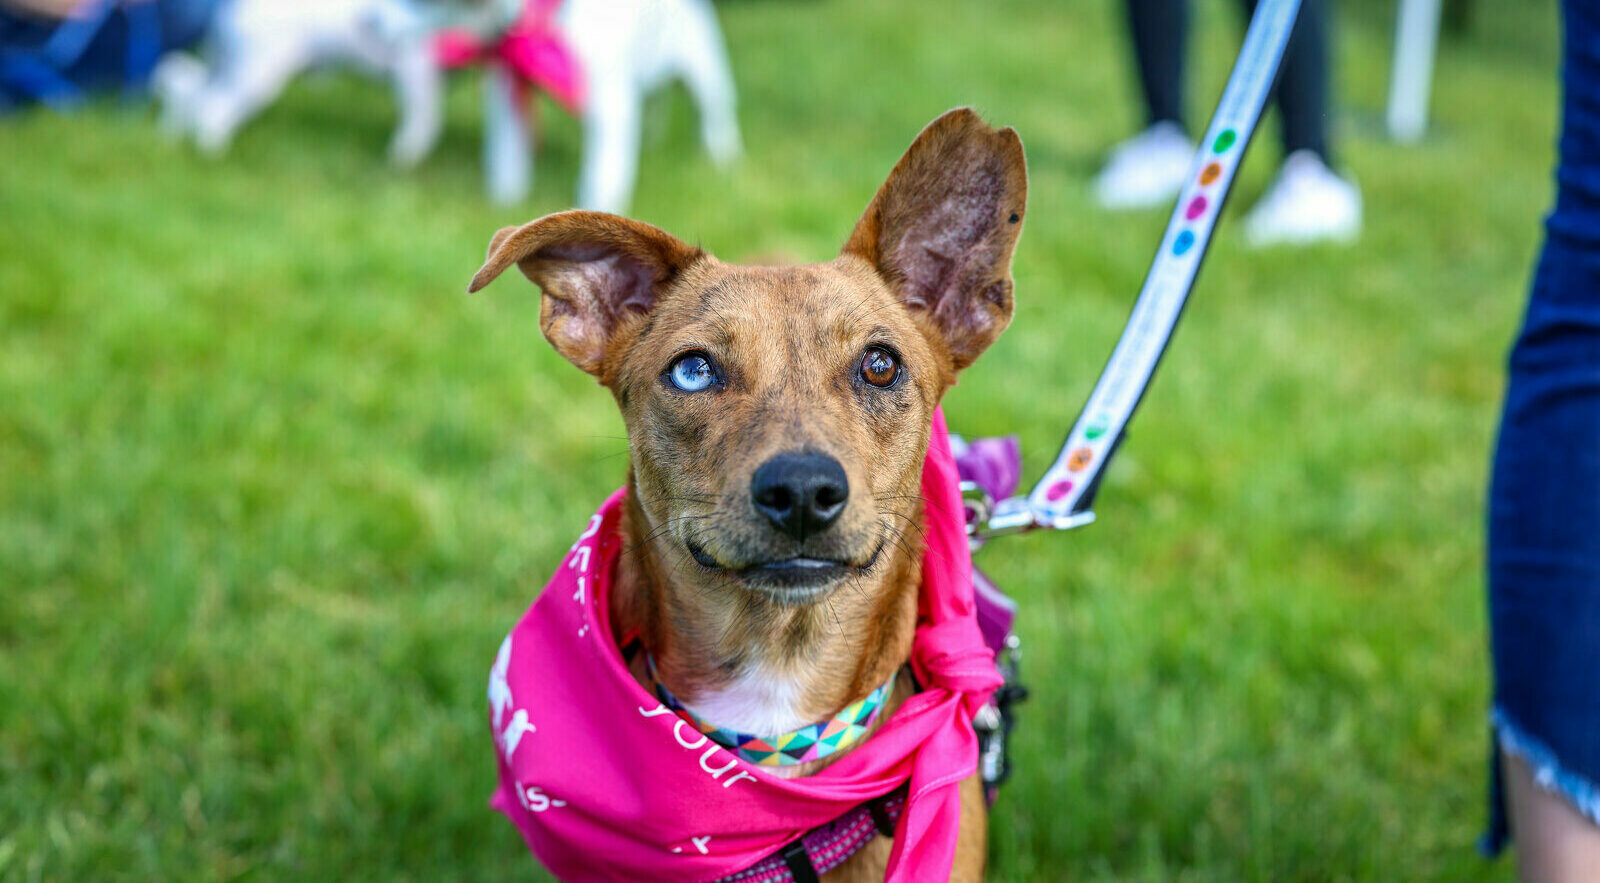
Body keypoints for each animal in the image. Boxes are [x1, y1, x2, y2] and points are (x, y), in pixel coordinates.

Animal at [152, 0, 739, 212]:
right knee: (204, 105)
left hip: (702, 71)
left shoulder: (607, 108)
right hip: (257, 71)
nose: (369, 21)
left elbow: (601, 174)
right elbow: (501, 160)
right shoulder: (478, 87)